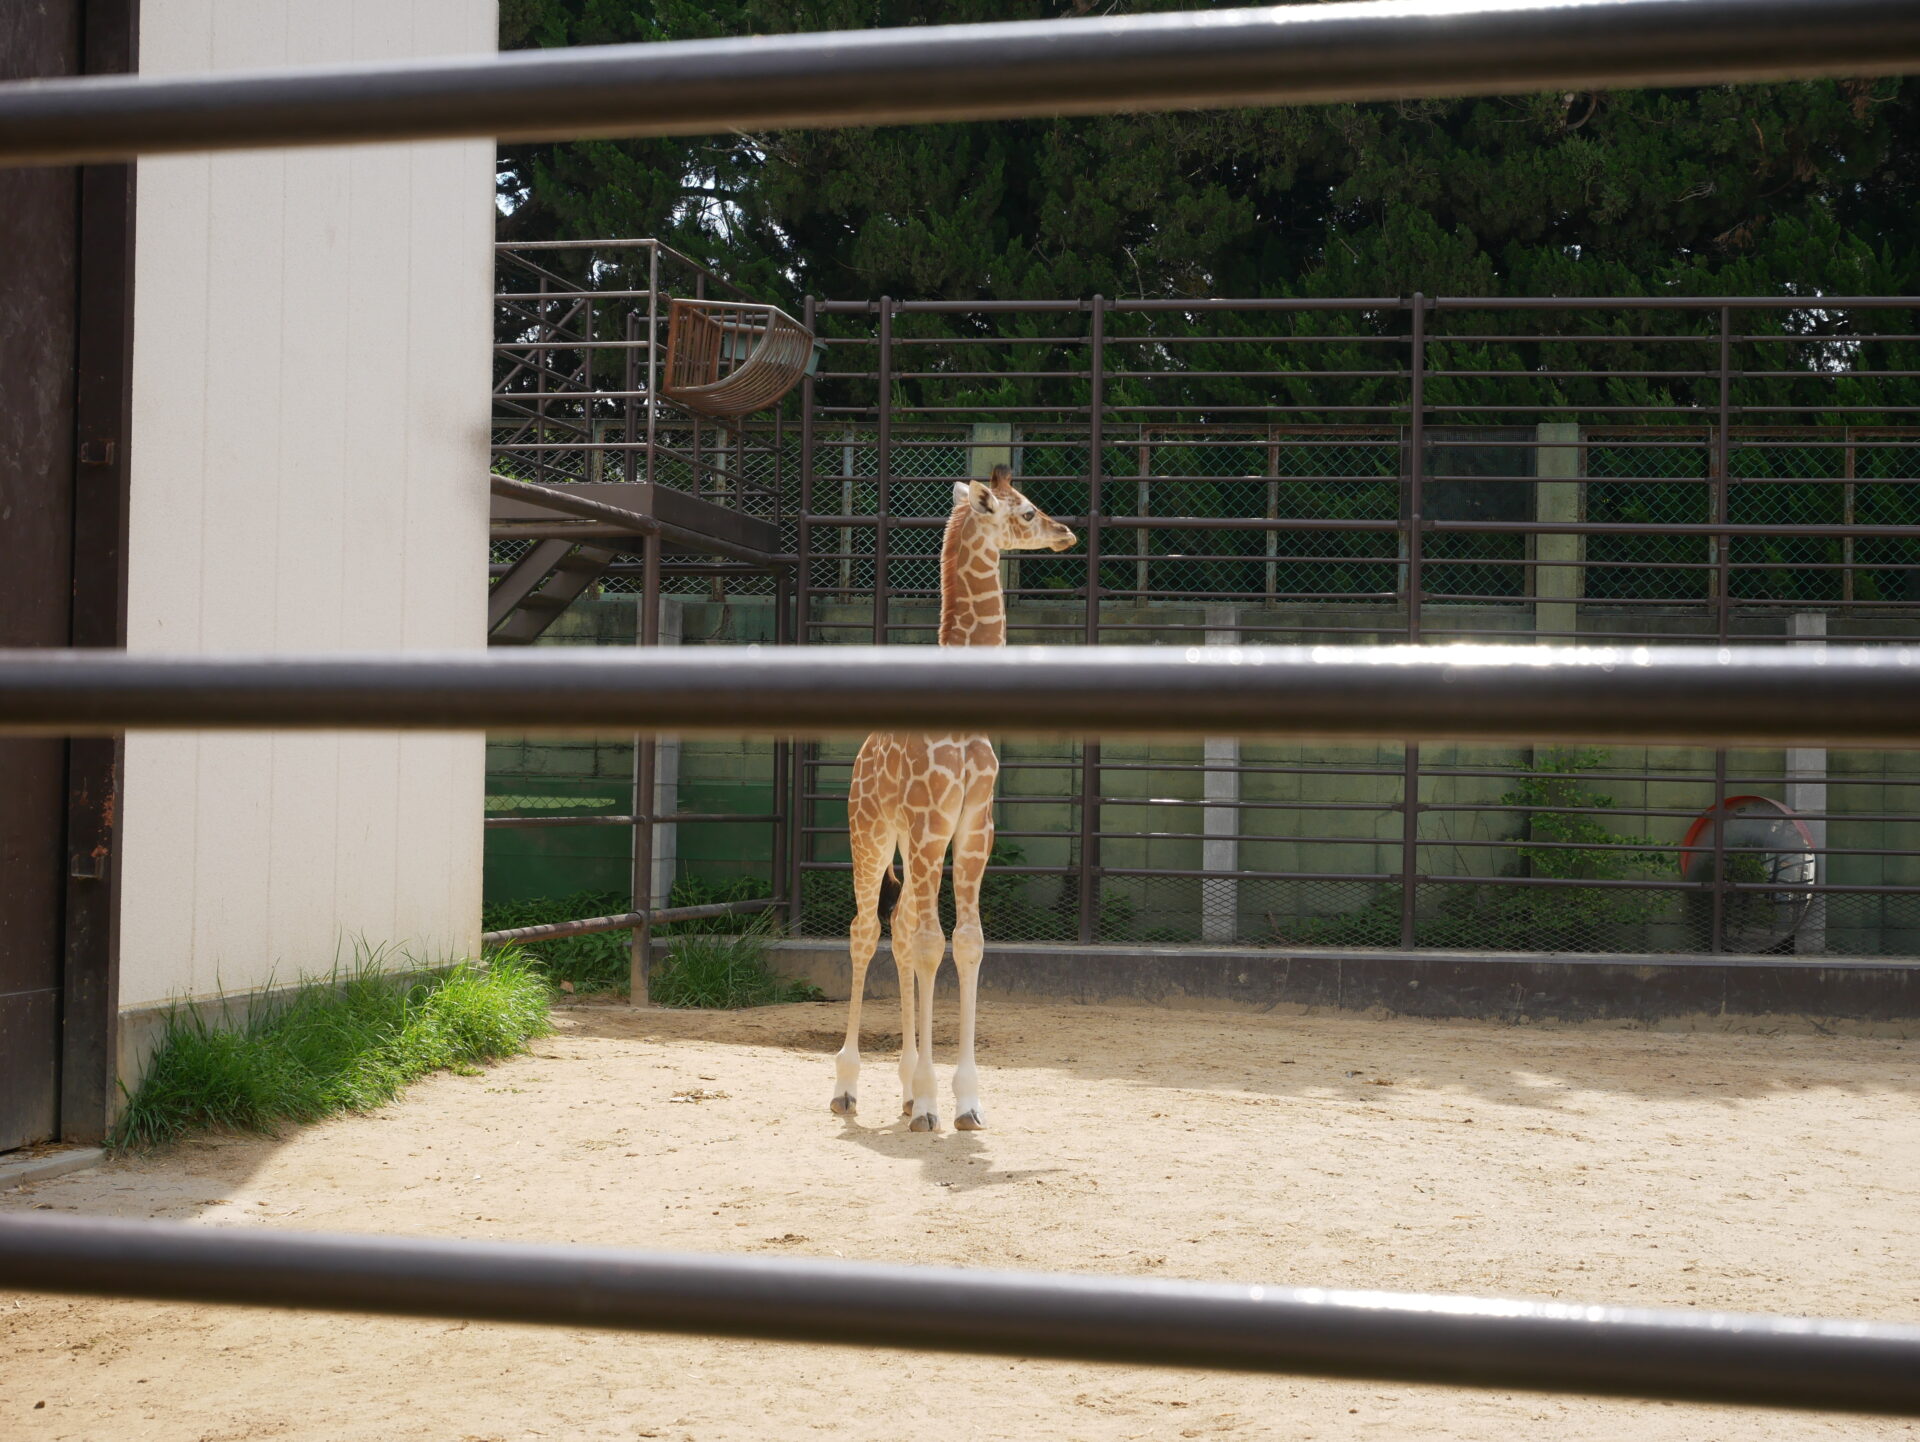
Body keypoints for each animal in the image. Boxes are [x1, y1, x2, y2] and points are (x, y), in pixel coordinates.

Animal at [833, 468, 1082, 1136]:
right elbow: (930, 943)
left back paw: (900, 1091)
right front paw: (929, 1101)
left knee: (897, 929)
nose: (1065, 532)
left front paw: (964, 1101)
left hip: (908, 841)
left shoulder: (973, 826)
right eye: (1027, 512)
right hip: (871, 832)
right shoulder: (930, 822)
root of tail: (860, 756)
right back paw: (847, 1087)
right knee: (867, 930)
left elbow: (965, 942)